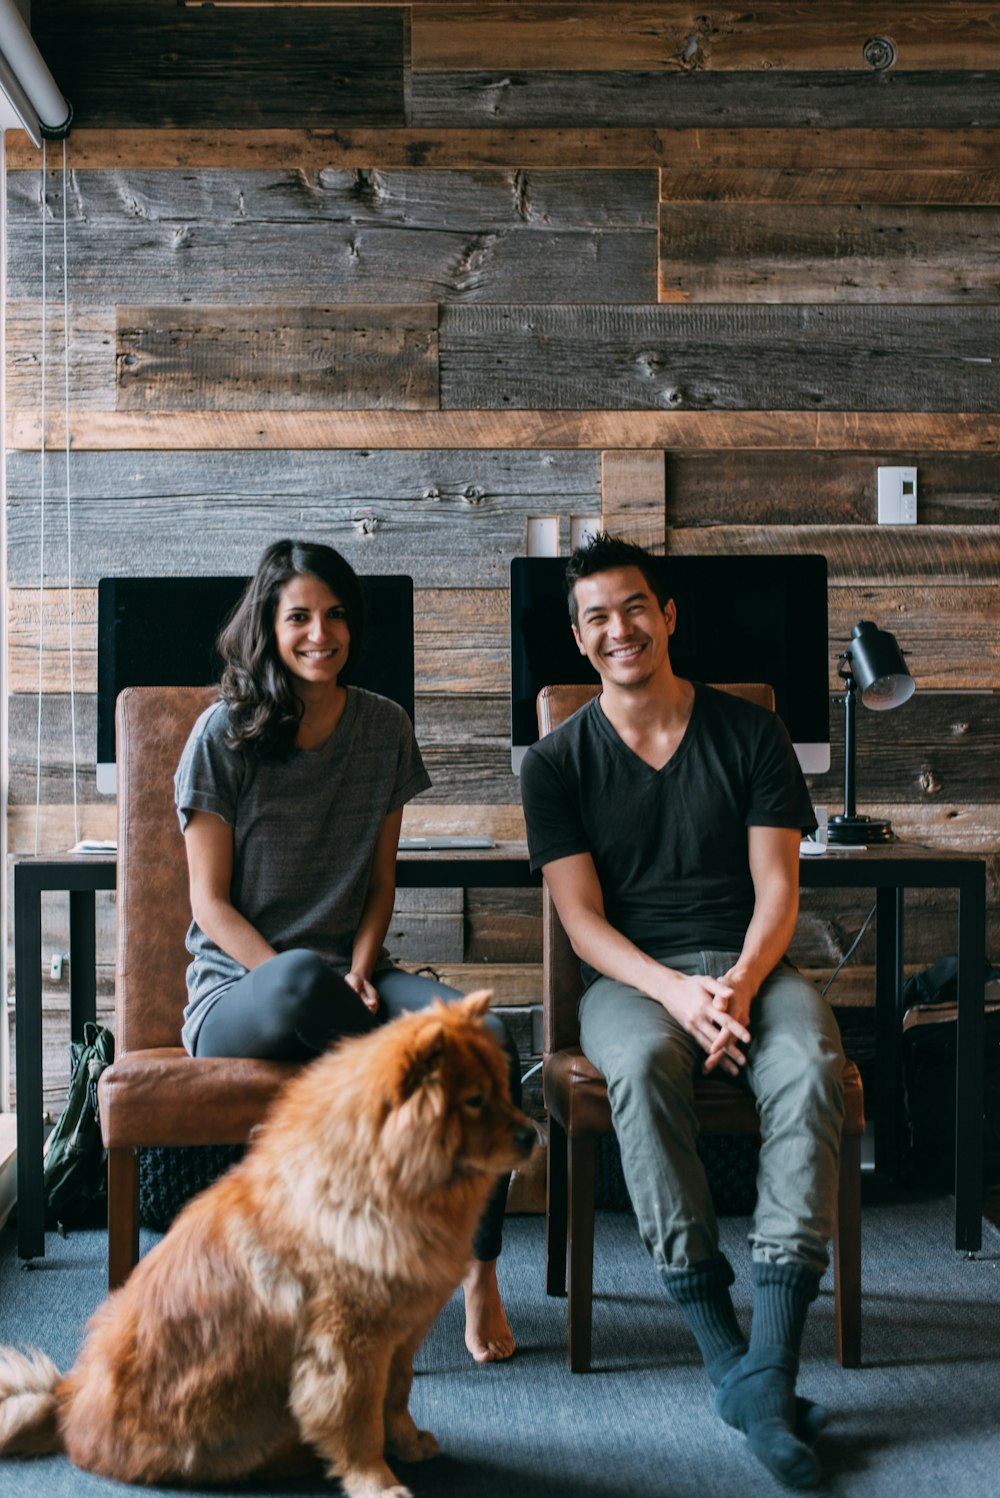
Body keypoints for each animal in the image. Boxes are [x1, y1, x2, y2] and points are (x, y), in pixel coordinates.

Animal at [0, 988, 535, 1492]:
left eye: (503, 1090)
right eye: (475, 1100)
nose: (533, 1134)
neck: (381, 1184)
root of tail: (65, 1404)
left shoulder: (400, 1335)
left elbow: (397, 1397)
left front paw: (407, 1443)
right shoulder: (348, 1345)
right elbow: (358, 1420)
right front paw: (376, 1481)